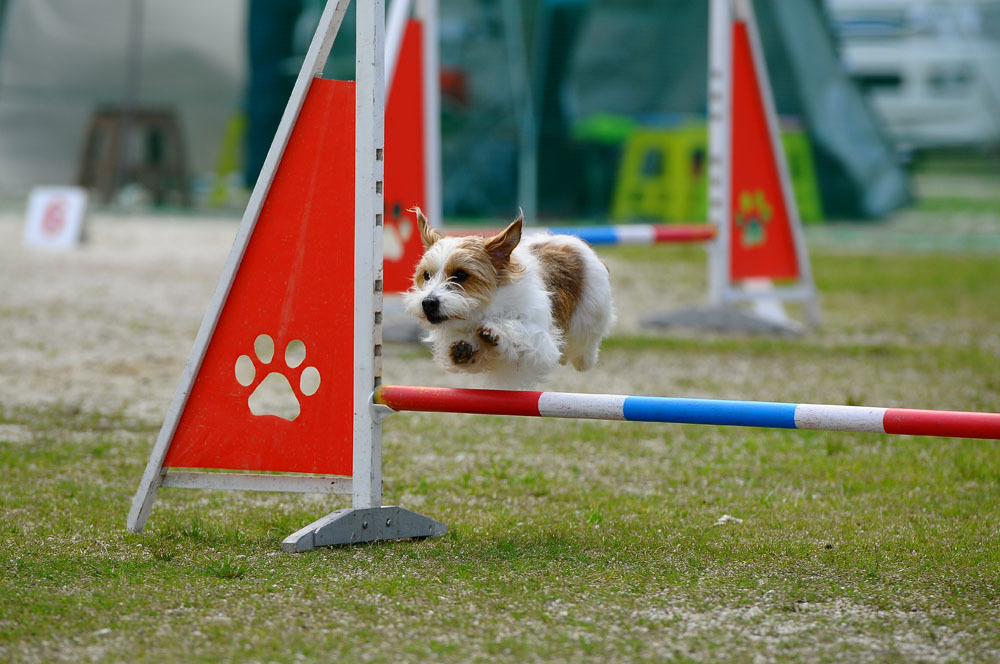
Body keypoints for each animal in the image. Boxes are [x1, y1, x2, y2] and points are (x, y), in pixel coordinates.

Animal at [402, 209, 612, 390]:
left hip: (592, 315)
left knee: (586, 346)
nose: (428, 303)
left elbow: (520, 331)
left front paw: (496, 331)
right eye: (426, 275)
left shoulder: (542, 344)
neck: (485, 310)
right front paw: (464, 349)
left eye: (461, 275)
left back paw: (584, 359)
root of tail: (567, 240)